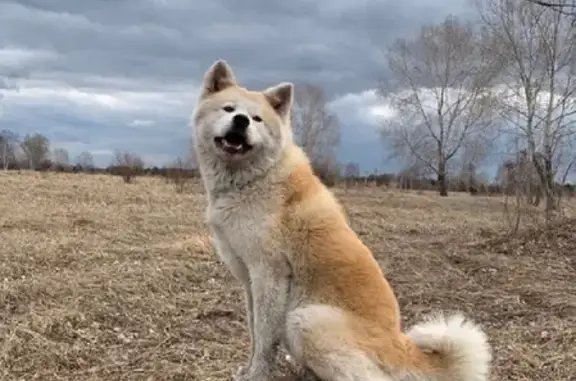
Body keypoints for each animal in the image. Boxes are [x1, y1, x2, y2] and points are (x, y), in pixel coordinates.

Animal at [192, 59, 490, 380]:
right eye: (229, 109)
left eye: (257, 119)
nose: (241, 121)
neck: (253, 180)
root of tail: (400, 345)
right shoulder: (249, 281)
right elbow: (254, 332)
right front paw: (248, 368)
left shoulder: (268, 276)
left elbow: (264, 338)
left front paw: (257, 375)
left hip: (303, 320)